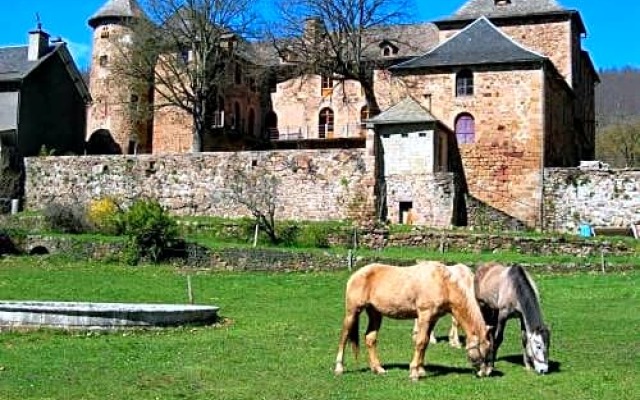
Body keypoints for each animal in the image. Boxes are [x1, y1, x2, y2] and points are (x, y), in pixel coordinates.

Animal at [332, 260, 492, 380]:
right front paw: (414, 372)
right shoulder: (424, 315)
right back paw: (339, 368)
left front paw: (421, 370)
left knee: (370, 339)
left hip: (375, 313)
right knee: (344, 337)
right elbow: (420, 342)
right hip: (352, 312)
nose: (486, 373)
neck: (443, 283)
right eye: (483, 351)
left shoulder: (432, 319)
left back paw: (378, 368)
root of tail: (356, 274)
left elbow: (426, 342)